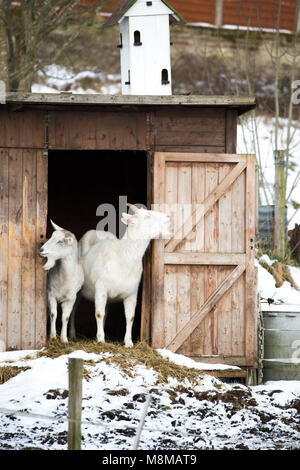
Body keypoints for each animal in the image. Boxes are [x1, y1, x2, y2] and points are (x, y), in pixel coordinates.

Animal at [78, 204, 170, 346]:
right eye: (147, 215)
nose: (167, 216)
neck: (123, 255)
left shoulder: (132, 293)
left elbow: (130, 317)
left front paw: (128, 342)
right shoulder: (101, 289)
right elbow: (99, 314)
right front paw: (101, 340)